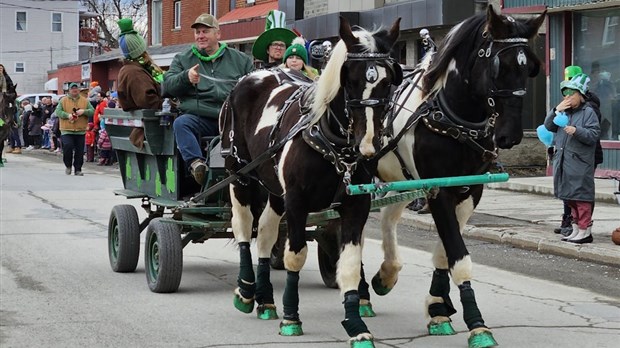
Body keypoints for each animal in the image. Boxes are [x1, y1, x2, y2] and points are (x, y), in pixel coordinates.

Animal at [220, 16, 404, 346]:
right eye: (349, 78)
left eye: (387, 81)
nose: (368, 143)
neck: (332, 143)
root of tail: (257, 74)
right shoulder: (297, 201)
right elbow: (295, 256)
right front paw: (291, 317)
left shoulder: (356, 204)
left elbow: (349, 264)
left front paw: (356, 325)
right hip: (239, 175)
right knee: (242, 227)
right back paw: (246, 290)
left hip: (273, 189)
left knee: (265, 234)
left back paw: (266, 300)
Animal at [370, 6, 544, 348]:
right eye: (499, 66)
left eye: (529, 66)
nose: (510, 135)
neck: (455, 122)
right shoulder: (437, 190)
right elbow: (460, 257)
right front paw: (477, 325)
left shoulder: (469, 191)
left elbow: (445, 252)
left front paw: (438, 308)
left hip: (400, 177)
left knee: (386, 217)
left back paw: (387, 272)